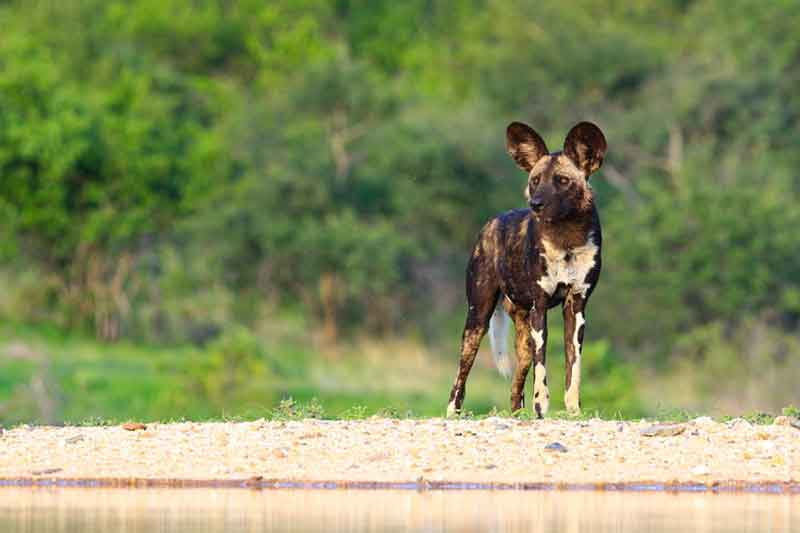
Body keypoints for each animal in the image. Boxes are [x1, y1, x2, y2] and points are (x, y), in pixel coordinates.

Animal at [444, 120, 608, 416]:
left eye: (562, 181)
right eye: (535, 181)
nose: (536, 204)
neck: (566, 240)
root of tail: (490, 224)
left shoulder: (576, 307)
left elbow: (573, 367)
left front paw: (573, 411)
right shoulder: (540, 307)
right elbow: (542, 368)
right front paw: (542, 408)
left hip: (521, 338)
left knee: (515, 388)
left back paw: (519, 415)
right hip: (477, 320)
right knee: (460, 377)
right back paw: (452, 414)